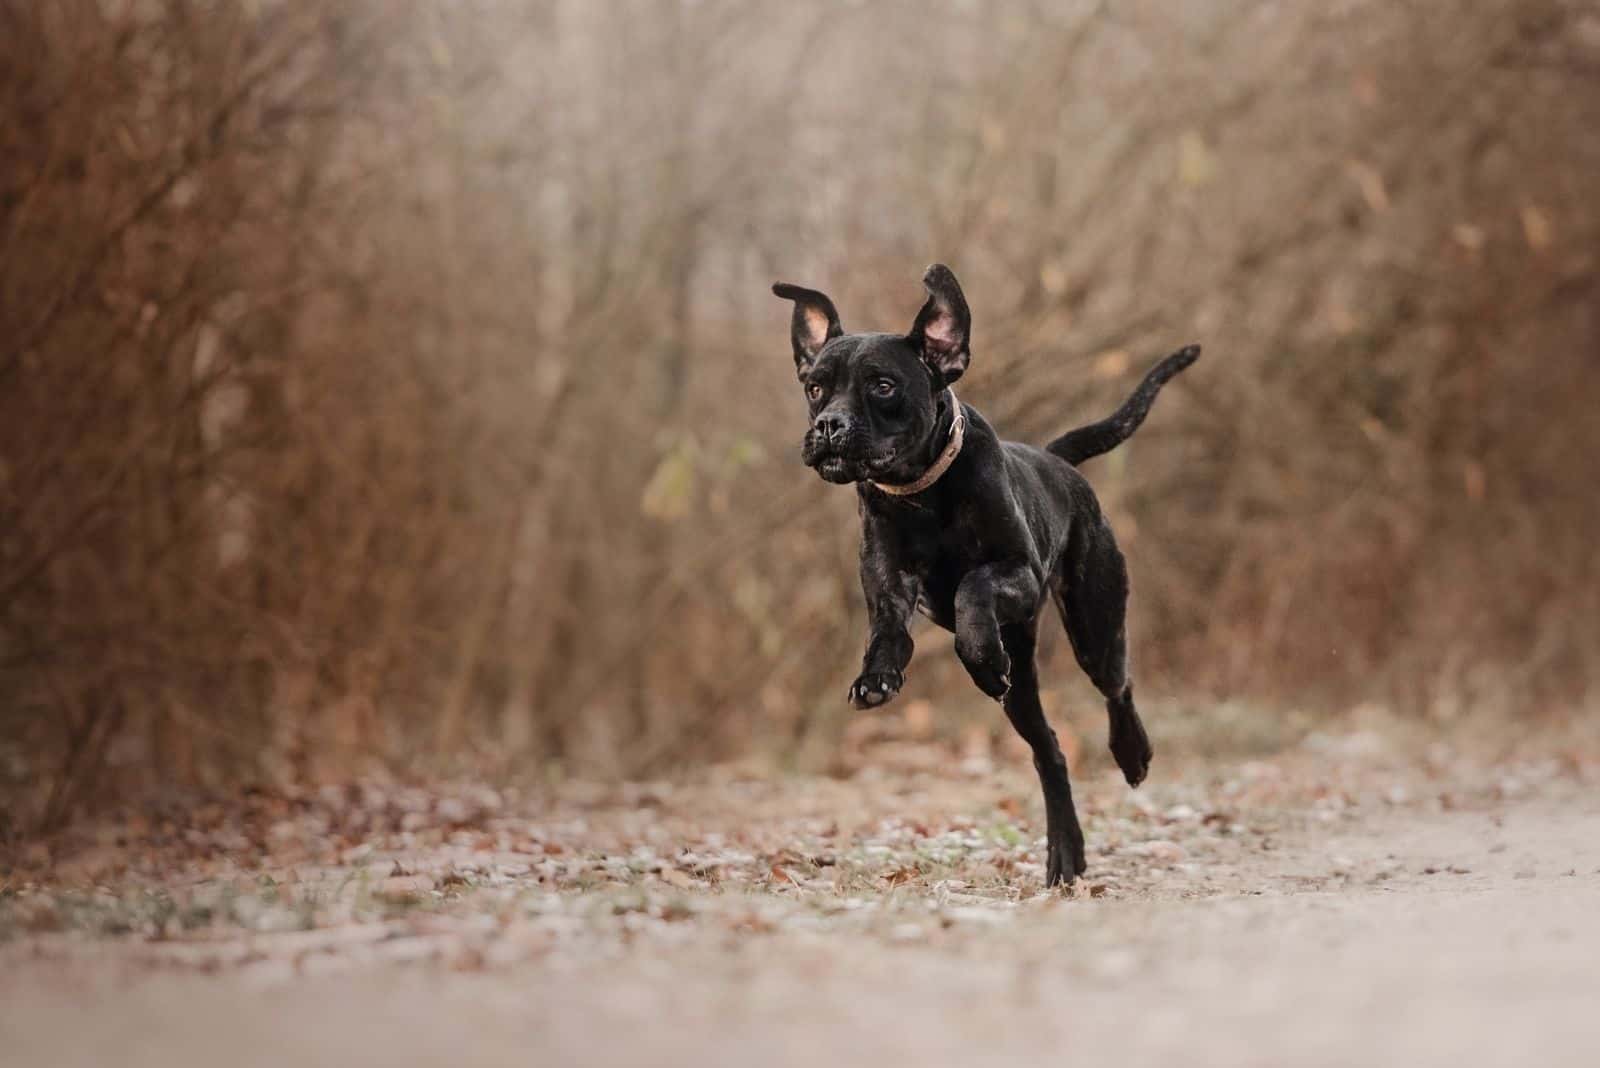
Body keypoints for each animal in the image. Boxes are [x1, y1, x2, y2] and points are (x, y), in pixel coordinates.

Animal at [768, 265, 1196, 882]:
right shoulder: (887, 589)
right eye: (815, 388)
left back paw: (1131, 753)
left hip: (1095, 627)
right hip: (1024, 692)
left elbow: (974, 586)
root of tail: (1058, 461)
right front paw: (876, 678)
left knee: (1117, 686)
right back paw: (1065, 854)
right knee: (1049, 750)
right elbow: (887, 634)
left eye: (882, 385)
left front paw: (980, 654)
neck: (922, 496)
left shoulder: (1019, 573)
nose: (828, 426)